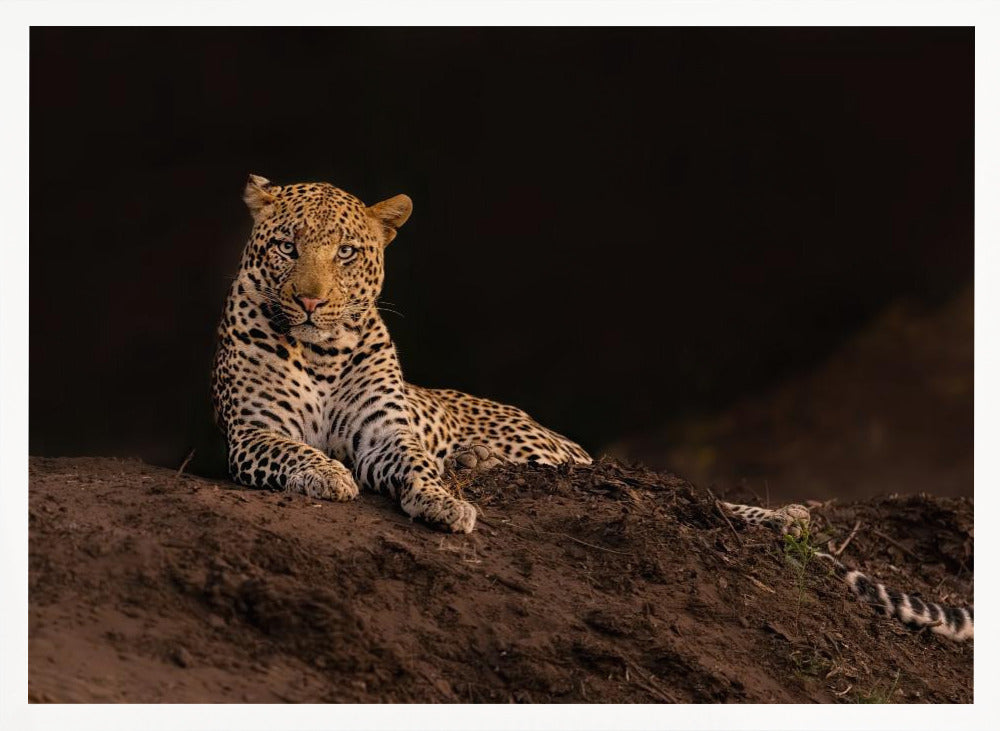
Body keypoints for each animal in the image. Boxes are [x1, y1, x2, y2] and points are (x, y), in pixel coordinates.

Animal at [211, 175, 590, 534]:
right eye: (287, 247)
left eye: (345, 252)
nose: (310, 301)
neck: (322, 354)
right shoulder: (254, 431)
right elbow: (293, 449)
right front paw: (328, 473)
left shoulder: (383, 434)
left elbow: (416, 463)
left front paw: (444, 502)